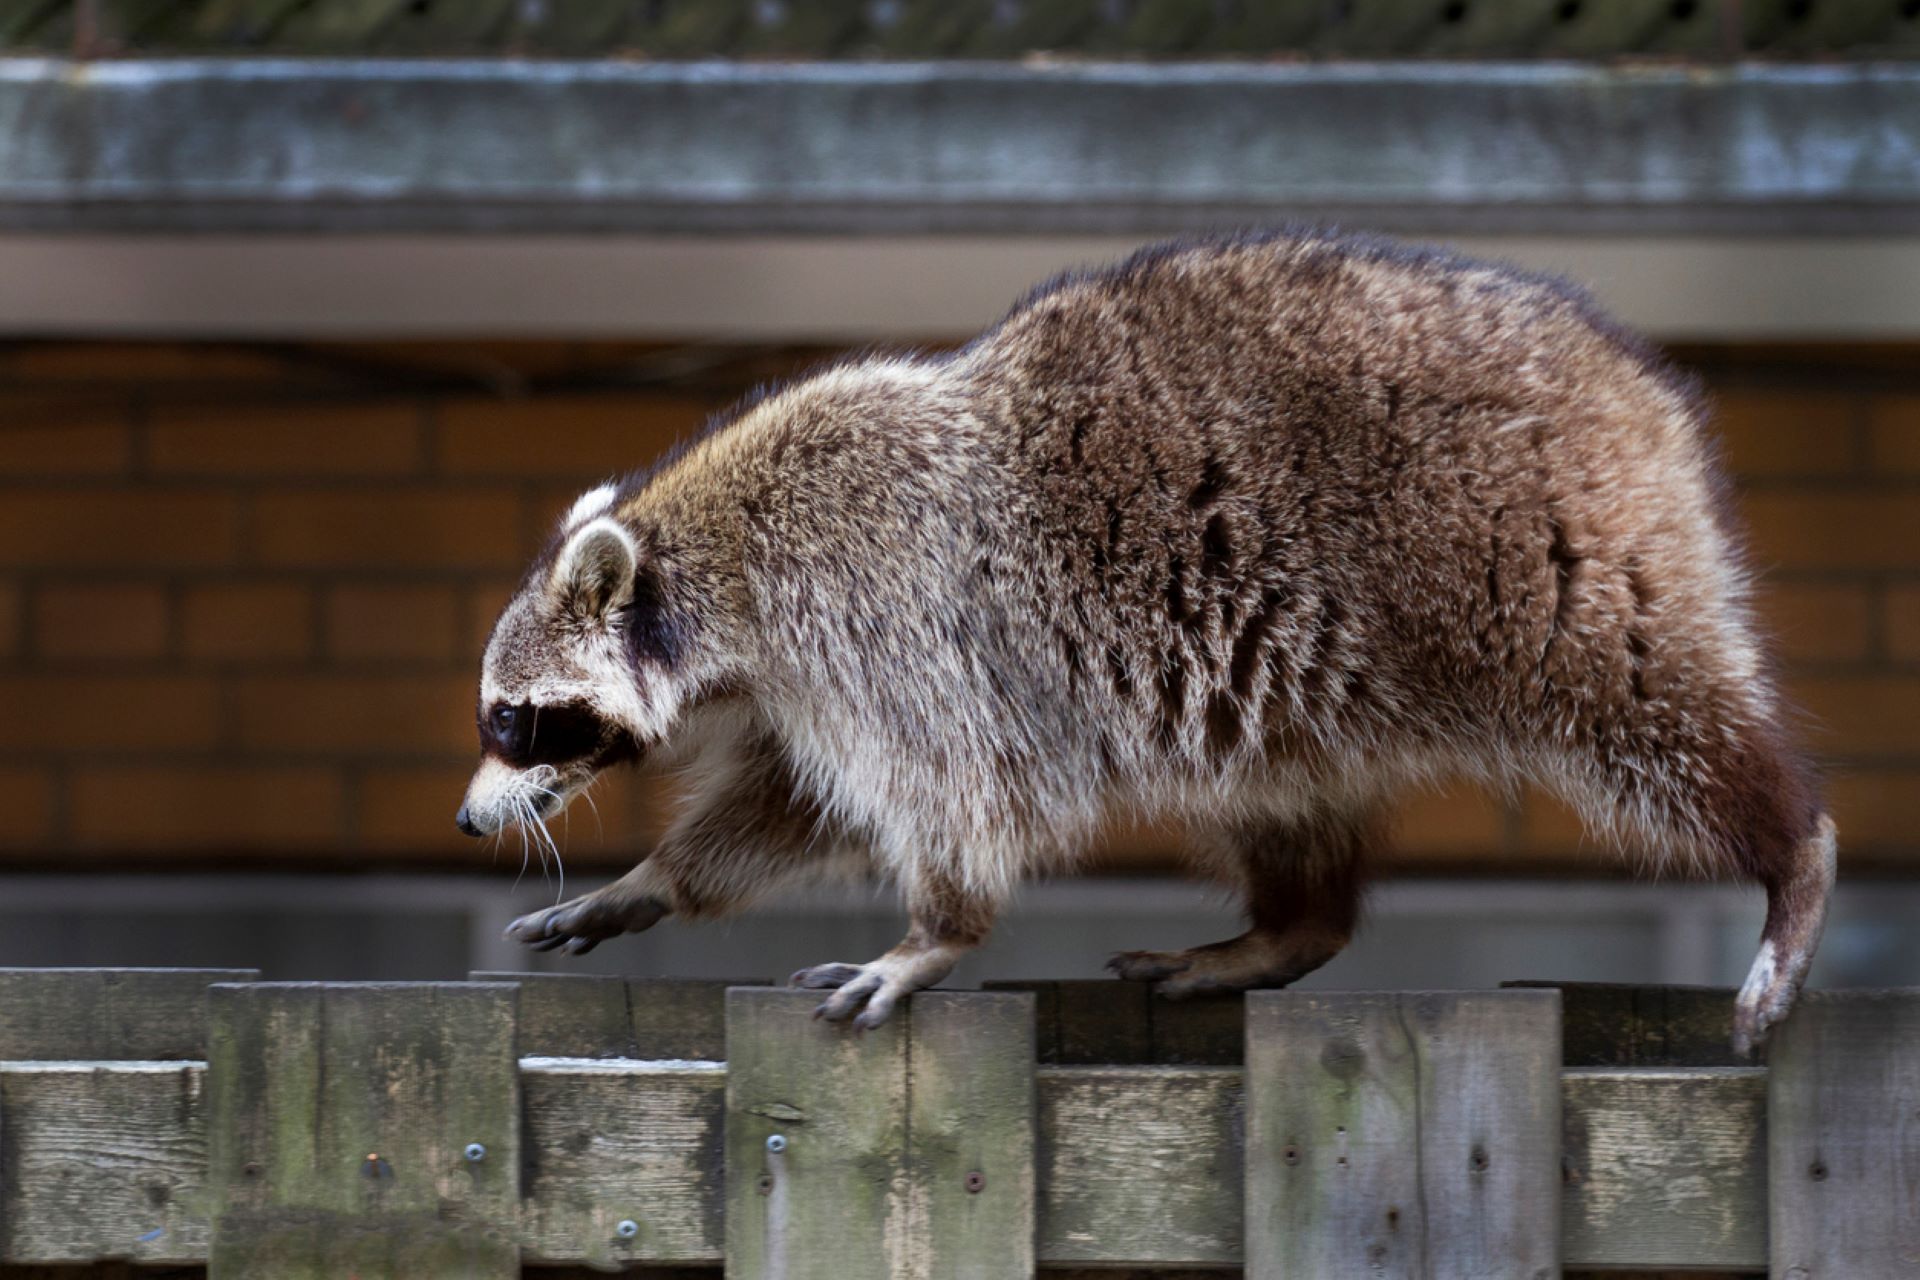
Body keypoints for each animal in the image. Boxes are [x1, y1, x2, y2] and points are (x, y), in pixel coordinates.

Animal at [456, 230, 1835, 1051]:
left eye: (513, 718)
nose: (471, 821)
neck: (705, 563)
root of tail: (1639, 390)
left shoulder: (883, 613)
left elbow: (949, 788)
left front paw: (938, 930)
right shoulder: (816, 669)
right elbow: (795, 800)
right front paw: (657, 879)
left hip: (1542, 565)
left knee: (1649, 709)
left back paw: (1791, 851)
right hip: (1295, 677)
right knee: (1283, 792)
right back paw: (1290, 925)